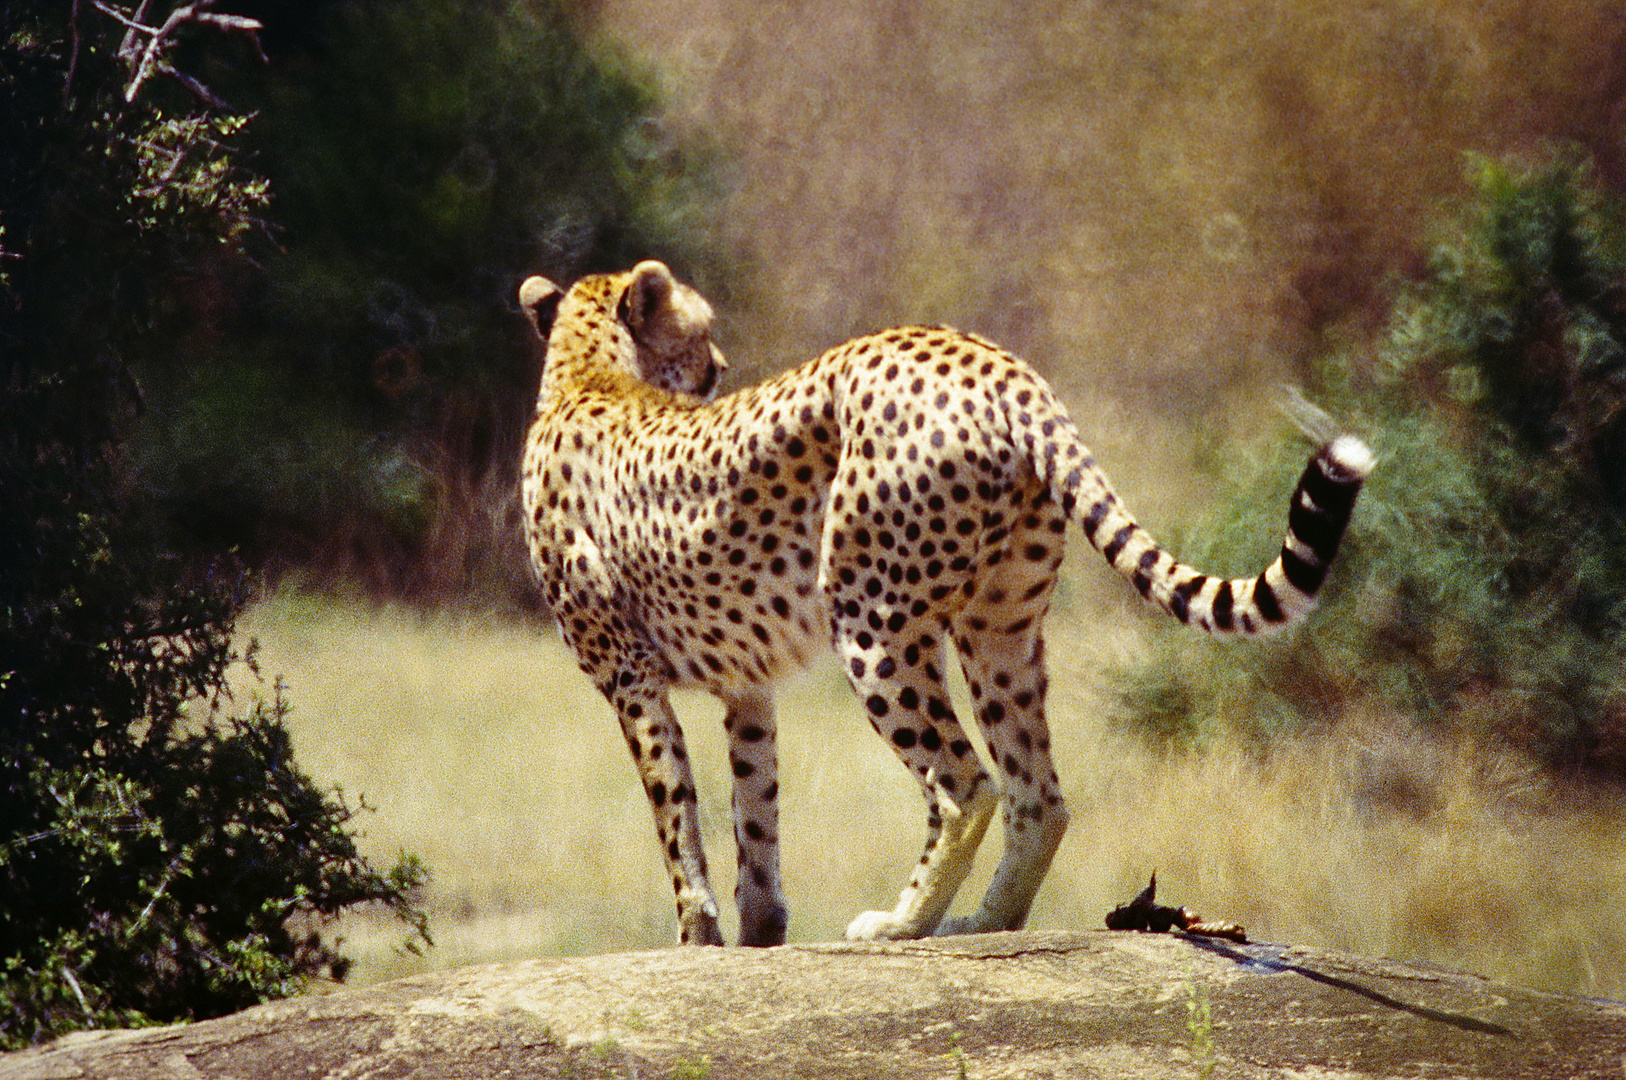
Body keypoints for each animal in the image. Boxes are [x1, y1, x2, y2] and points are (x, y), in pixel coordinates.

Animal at [513, 265, 1365, 949]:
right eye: (703, 331)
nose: (720, 364)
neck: (587, 371)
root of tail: (998, 363)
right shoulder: (746, 688)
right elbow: (752, 809)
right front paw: (759, 931)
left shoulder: (631, 679)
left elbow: (675, 814)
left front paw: (697, 934)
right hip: (1000, 632)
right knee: (1038, 794)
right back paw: (986, 921)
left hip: (870, 620)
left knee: (964, 784)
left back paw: (902, 922)